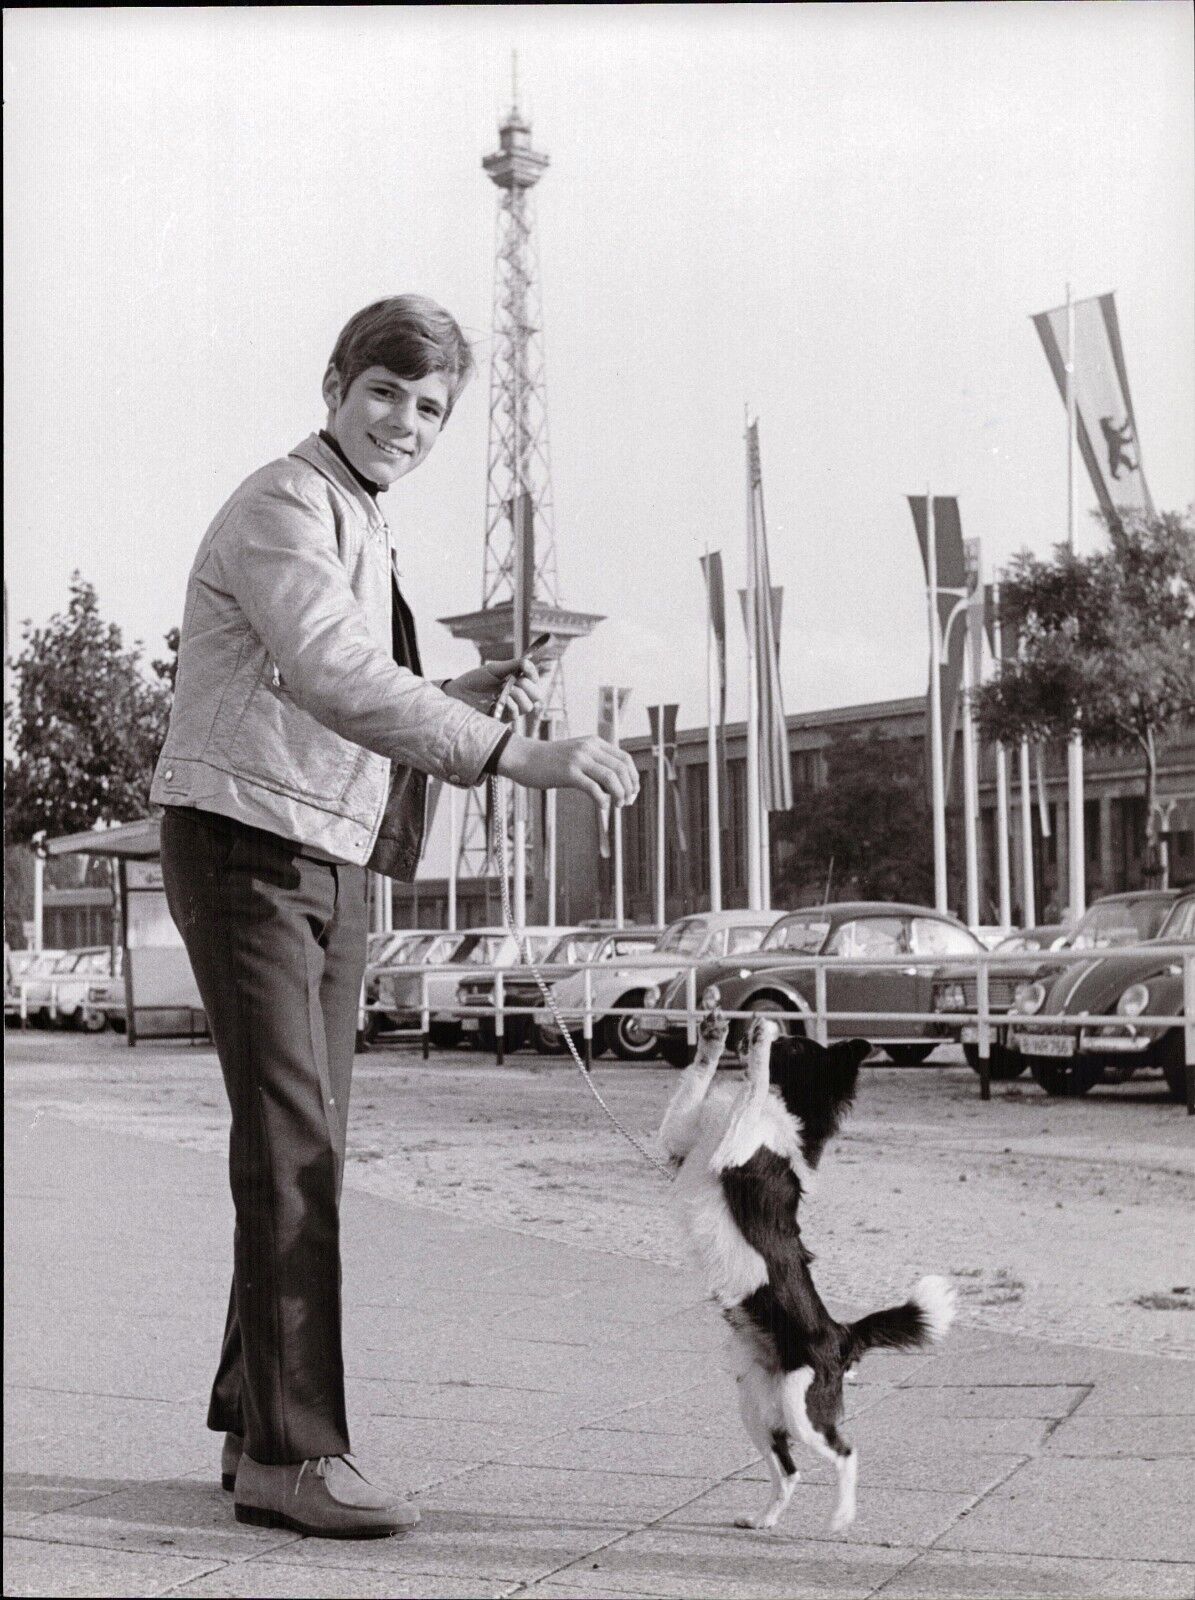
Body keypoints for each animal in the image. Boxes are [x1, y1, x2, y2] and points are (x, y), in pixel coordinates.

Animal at [659, 1017, 959, 1529]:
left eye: (793, 1046)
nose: (746, 1028)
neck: (786, 1108)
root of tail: (841, 1335)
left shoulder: (733, 1147)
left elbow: (754, 1084)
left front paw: (757, 1046)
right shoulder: (681, 1139)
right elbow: (700, 1079)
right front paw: (711, 1038)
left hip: (804, 1410)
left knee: (846, 1451)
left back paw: (841, 1516)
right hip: (756, 1405)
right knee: (789, 1469)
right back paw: (764, 1519)